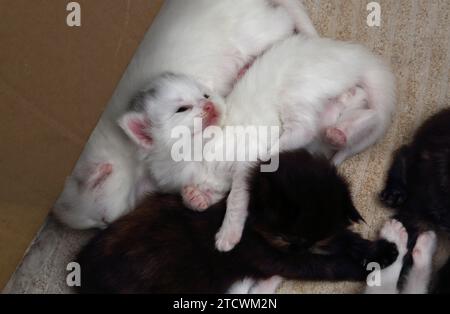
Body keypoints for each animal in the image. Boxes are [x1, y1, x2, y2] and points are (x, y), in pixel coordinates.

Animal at [77, 150, 398, 294]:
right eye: (286, 238)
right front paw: (373, 265)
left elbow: (343, 241)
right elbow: (329, 265)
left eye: (317, 239)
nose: (300, 248)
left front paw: (380, 250)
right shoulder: (275, 256)